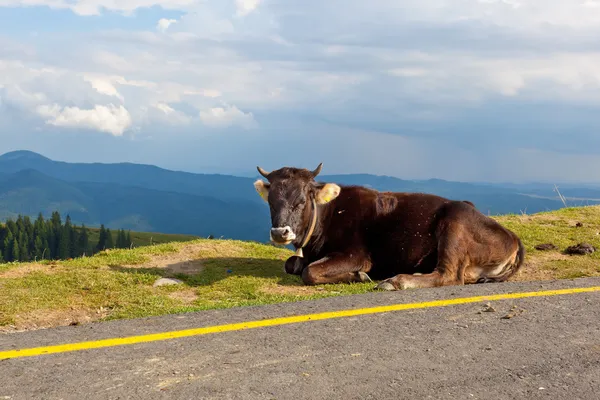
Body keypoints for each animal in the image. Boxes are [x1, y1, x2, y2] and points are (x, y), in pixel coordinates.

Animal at [253, 162, 524, 290]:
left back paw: (396, 281)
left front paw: (359, 276)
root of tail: (513, 237)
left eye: (301, 201)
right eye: (271, 203)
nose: (280, 233)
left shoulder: (356, 254)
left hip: (454, 223)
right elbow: (291, 264)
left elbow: (309, 272)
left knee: (450, 276)